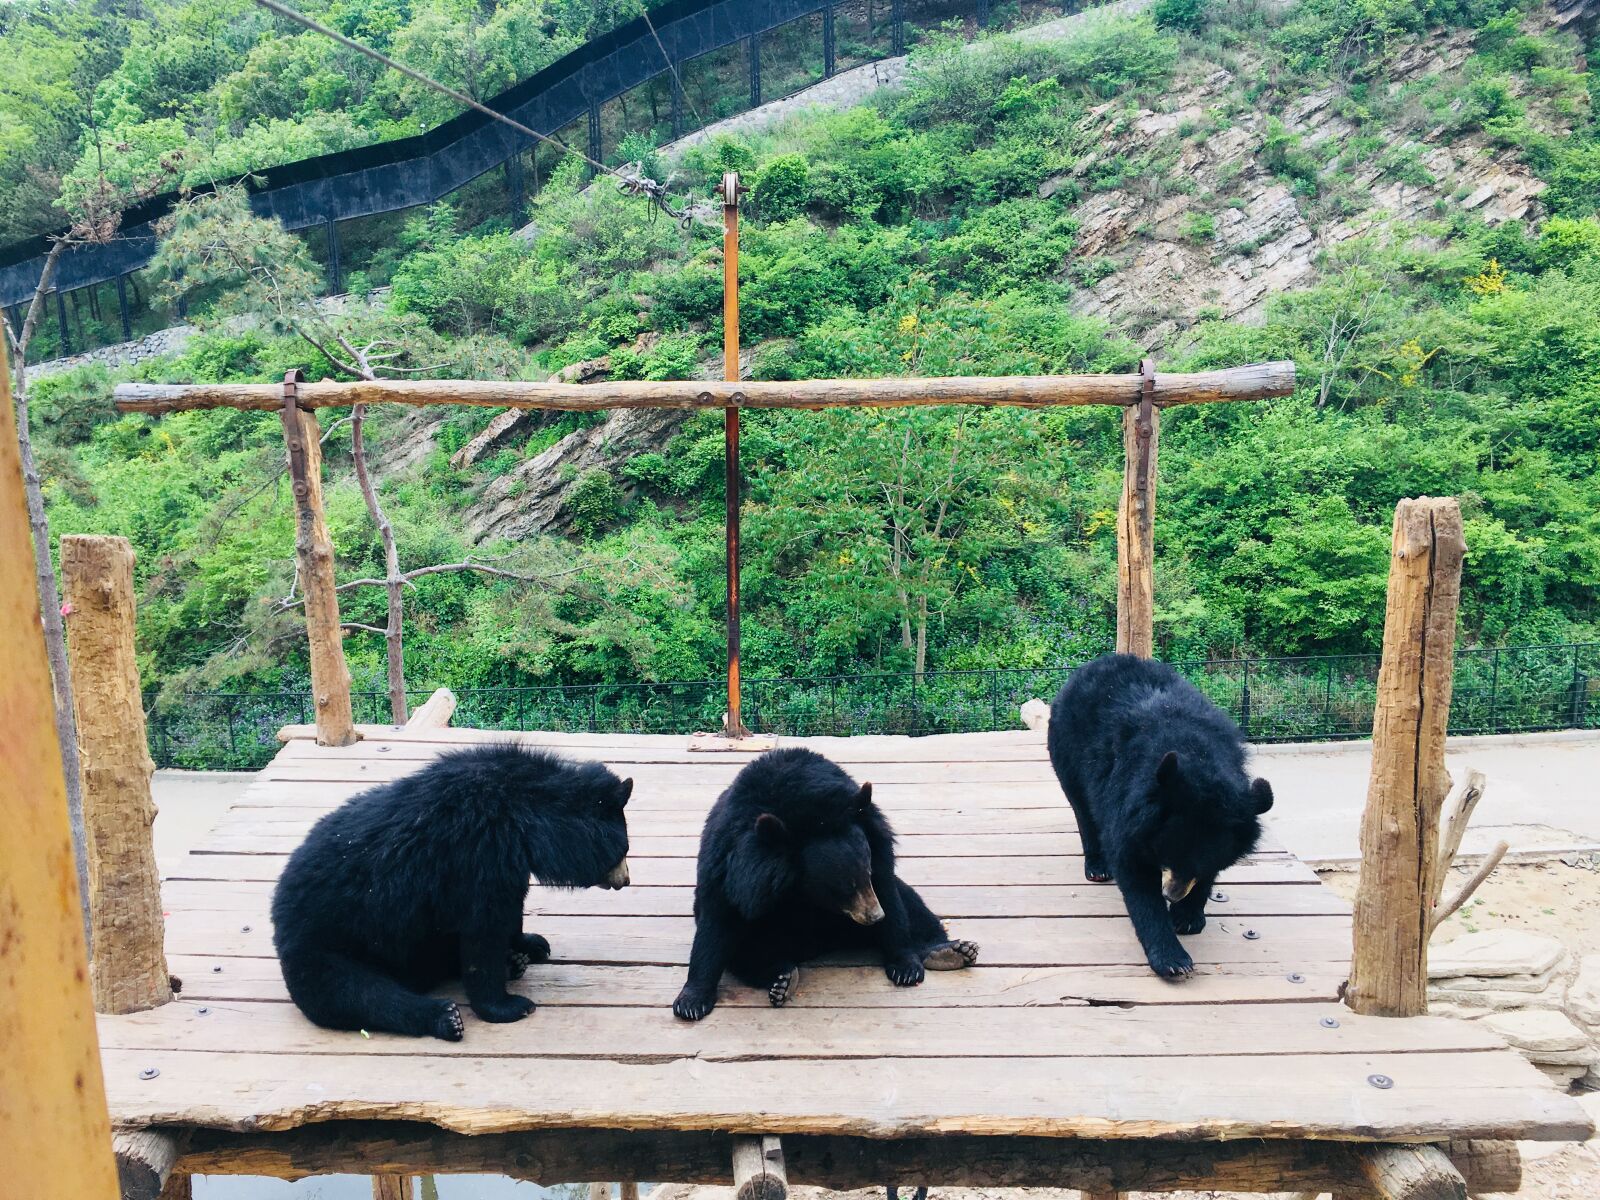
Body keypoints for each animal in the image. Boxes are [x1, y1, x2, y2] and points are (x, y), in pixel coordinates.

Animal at [271, 743, 632, 1040]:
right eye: (624, 849)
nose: (625, 880)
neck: (524, 818)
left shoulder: (507, 863)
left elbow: (510, 911)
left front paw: (532, 943)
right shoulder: (477, 857)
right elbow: (484, 931)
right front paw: (508, 1006)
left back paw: (511, 963)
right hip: (325, 946)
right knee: (359, 994)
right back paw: (445, 1018)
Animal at [671, 746, 978, 1021]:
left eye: (866, 873)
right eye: (843, 887)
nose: (874, 917)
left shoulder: (876, 842)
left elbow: (891, 894)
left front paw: (905, 966)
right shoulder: (730, 864)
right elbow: (718, 920)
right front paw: (691, 1003)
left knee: (913, 904)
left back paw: (950, 951)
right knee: (745, 950)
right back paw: (781, 978)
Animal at [1046, 653, 1274, 979]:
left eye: (1197, 864)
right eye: (1167, 854)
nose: (1172, 894)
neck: (1199, 760)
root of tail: (1094, 664)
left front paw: (1188, 916)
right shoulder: (1128, 803)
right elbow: (1135, 874)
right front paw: (1173, 959)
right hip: (1067, 750)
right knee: (1083, 809)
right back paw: (1097, 865)